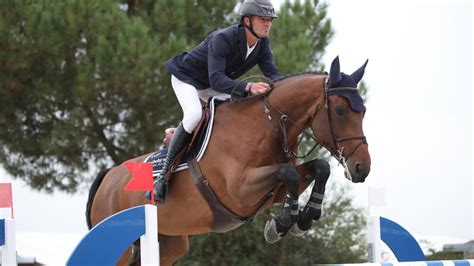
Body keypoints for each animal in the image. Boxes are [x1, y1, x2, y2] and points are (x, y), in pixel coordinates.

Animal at [87, 57, 372, 264]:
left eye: (364, 111)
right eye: (340, 110)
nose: (362, 168)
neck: (269, 124)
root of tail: (108, 177)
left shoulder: (273, 192)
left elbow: (319, 168)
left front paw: (302, 219)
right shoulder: (240, 191)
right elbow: (288, 173)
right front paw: (280, 225)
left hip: (168, 243)